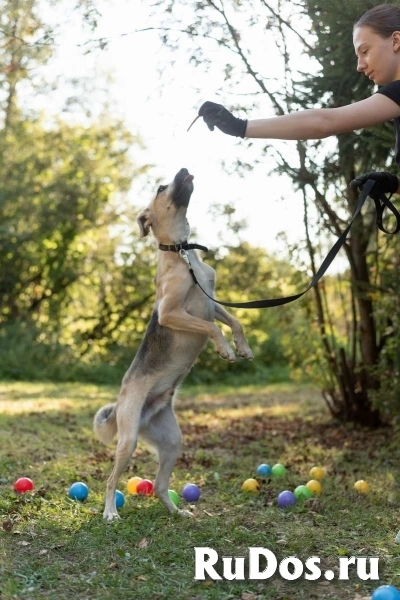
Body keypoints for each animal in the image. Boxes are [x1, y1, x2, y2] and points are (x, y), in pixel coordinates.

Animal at [94, 166, 253, 516]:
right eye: (160, 187)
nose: (183, 169)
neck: (182, 251)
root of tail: (142, 413)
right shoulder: (172, 313)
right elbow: (211, 328)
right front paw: (225, 350)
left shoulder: (212, 302)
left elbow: (234, 321)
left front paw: (243, 347)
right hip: (128, 440)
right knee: (111, 480)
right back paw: (111, 512)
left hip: (171, 441)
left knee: (159, 486)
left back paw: (177, 512)